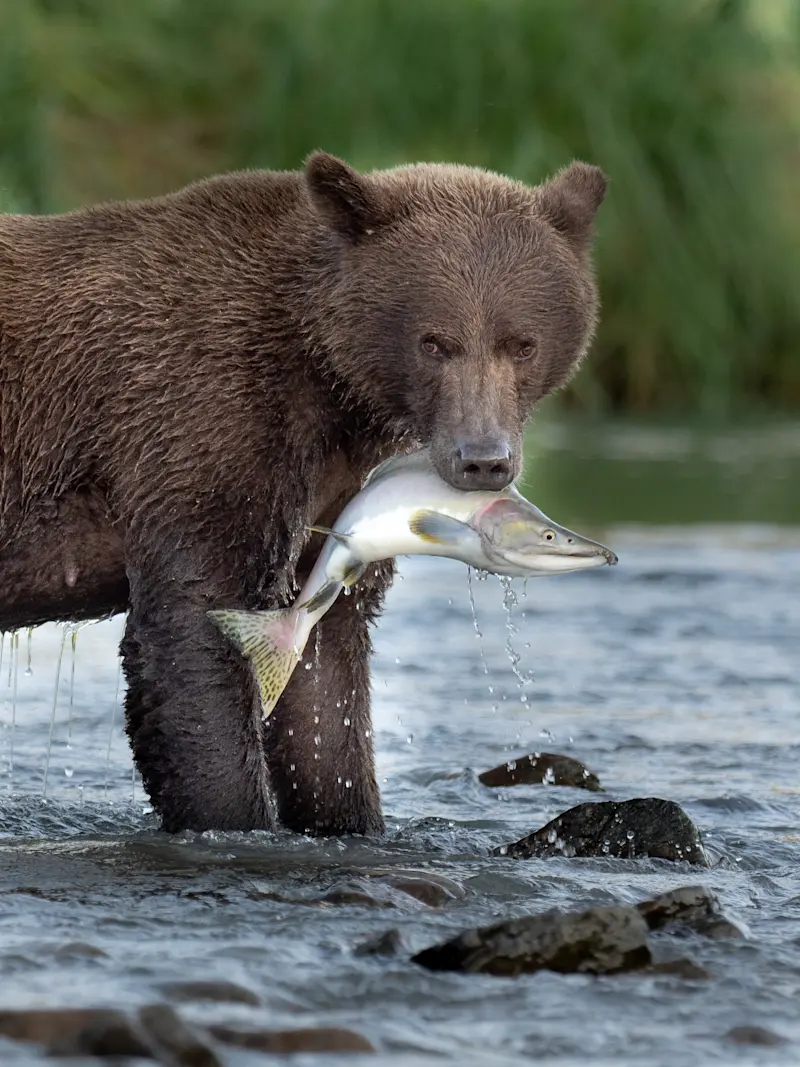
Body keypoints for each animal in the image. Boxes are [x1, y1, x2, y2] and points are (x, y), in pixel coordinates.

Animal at [0, 152, 606, 835]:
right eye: (434, 341)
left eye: (522, 343)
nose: (483, 460)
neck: (329, 385)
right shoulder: (199, 420)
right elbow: (192, 629)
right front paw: (234, 812)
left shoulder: (339, 496)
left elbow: (324, 681)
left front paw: (346, 812)